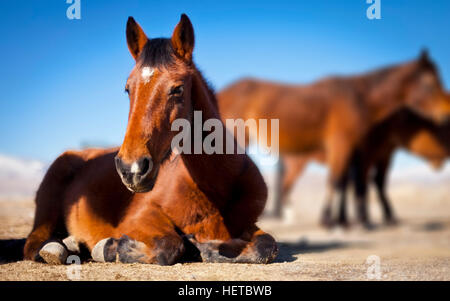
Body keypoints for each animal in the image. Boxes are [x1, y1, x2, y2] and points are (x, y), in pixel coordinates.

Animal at [24, 14, 280, 262]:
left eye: (177, 89)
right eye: (128, 89)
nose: (131, 168)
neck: (220, 184)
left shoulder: (249, 225)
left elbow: (267, 246)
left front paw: (207, 248)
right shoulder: (141, 216)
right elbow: (169, 245)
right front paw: (114, 248)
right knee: (34, 243)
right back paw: (57, 249)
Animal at [280, 108, 448, 227]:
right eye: (418, 123)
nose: (440, 160)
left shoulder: (380, 157)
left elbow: (362, 184)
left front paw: (348, 219)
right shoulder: (364, 157)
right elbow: (358, 184)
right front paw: (360, 219)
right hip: (297, 165)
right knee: (286, 186)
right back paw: (290, 217)